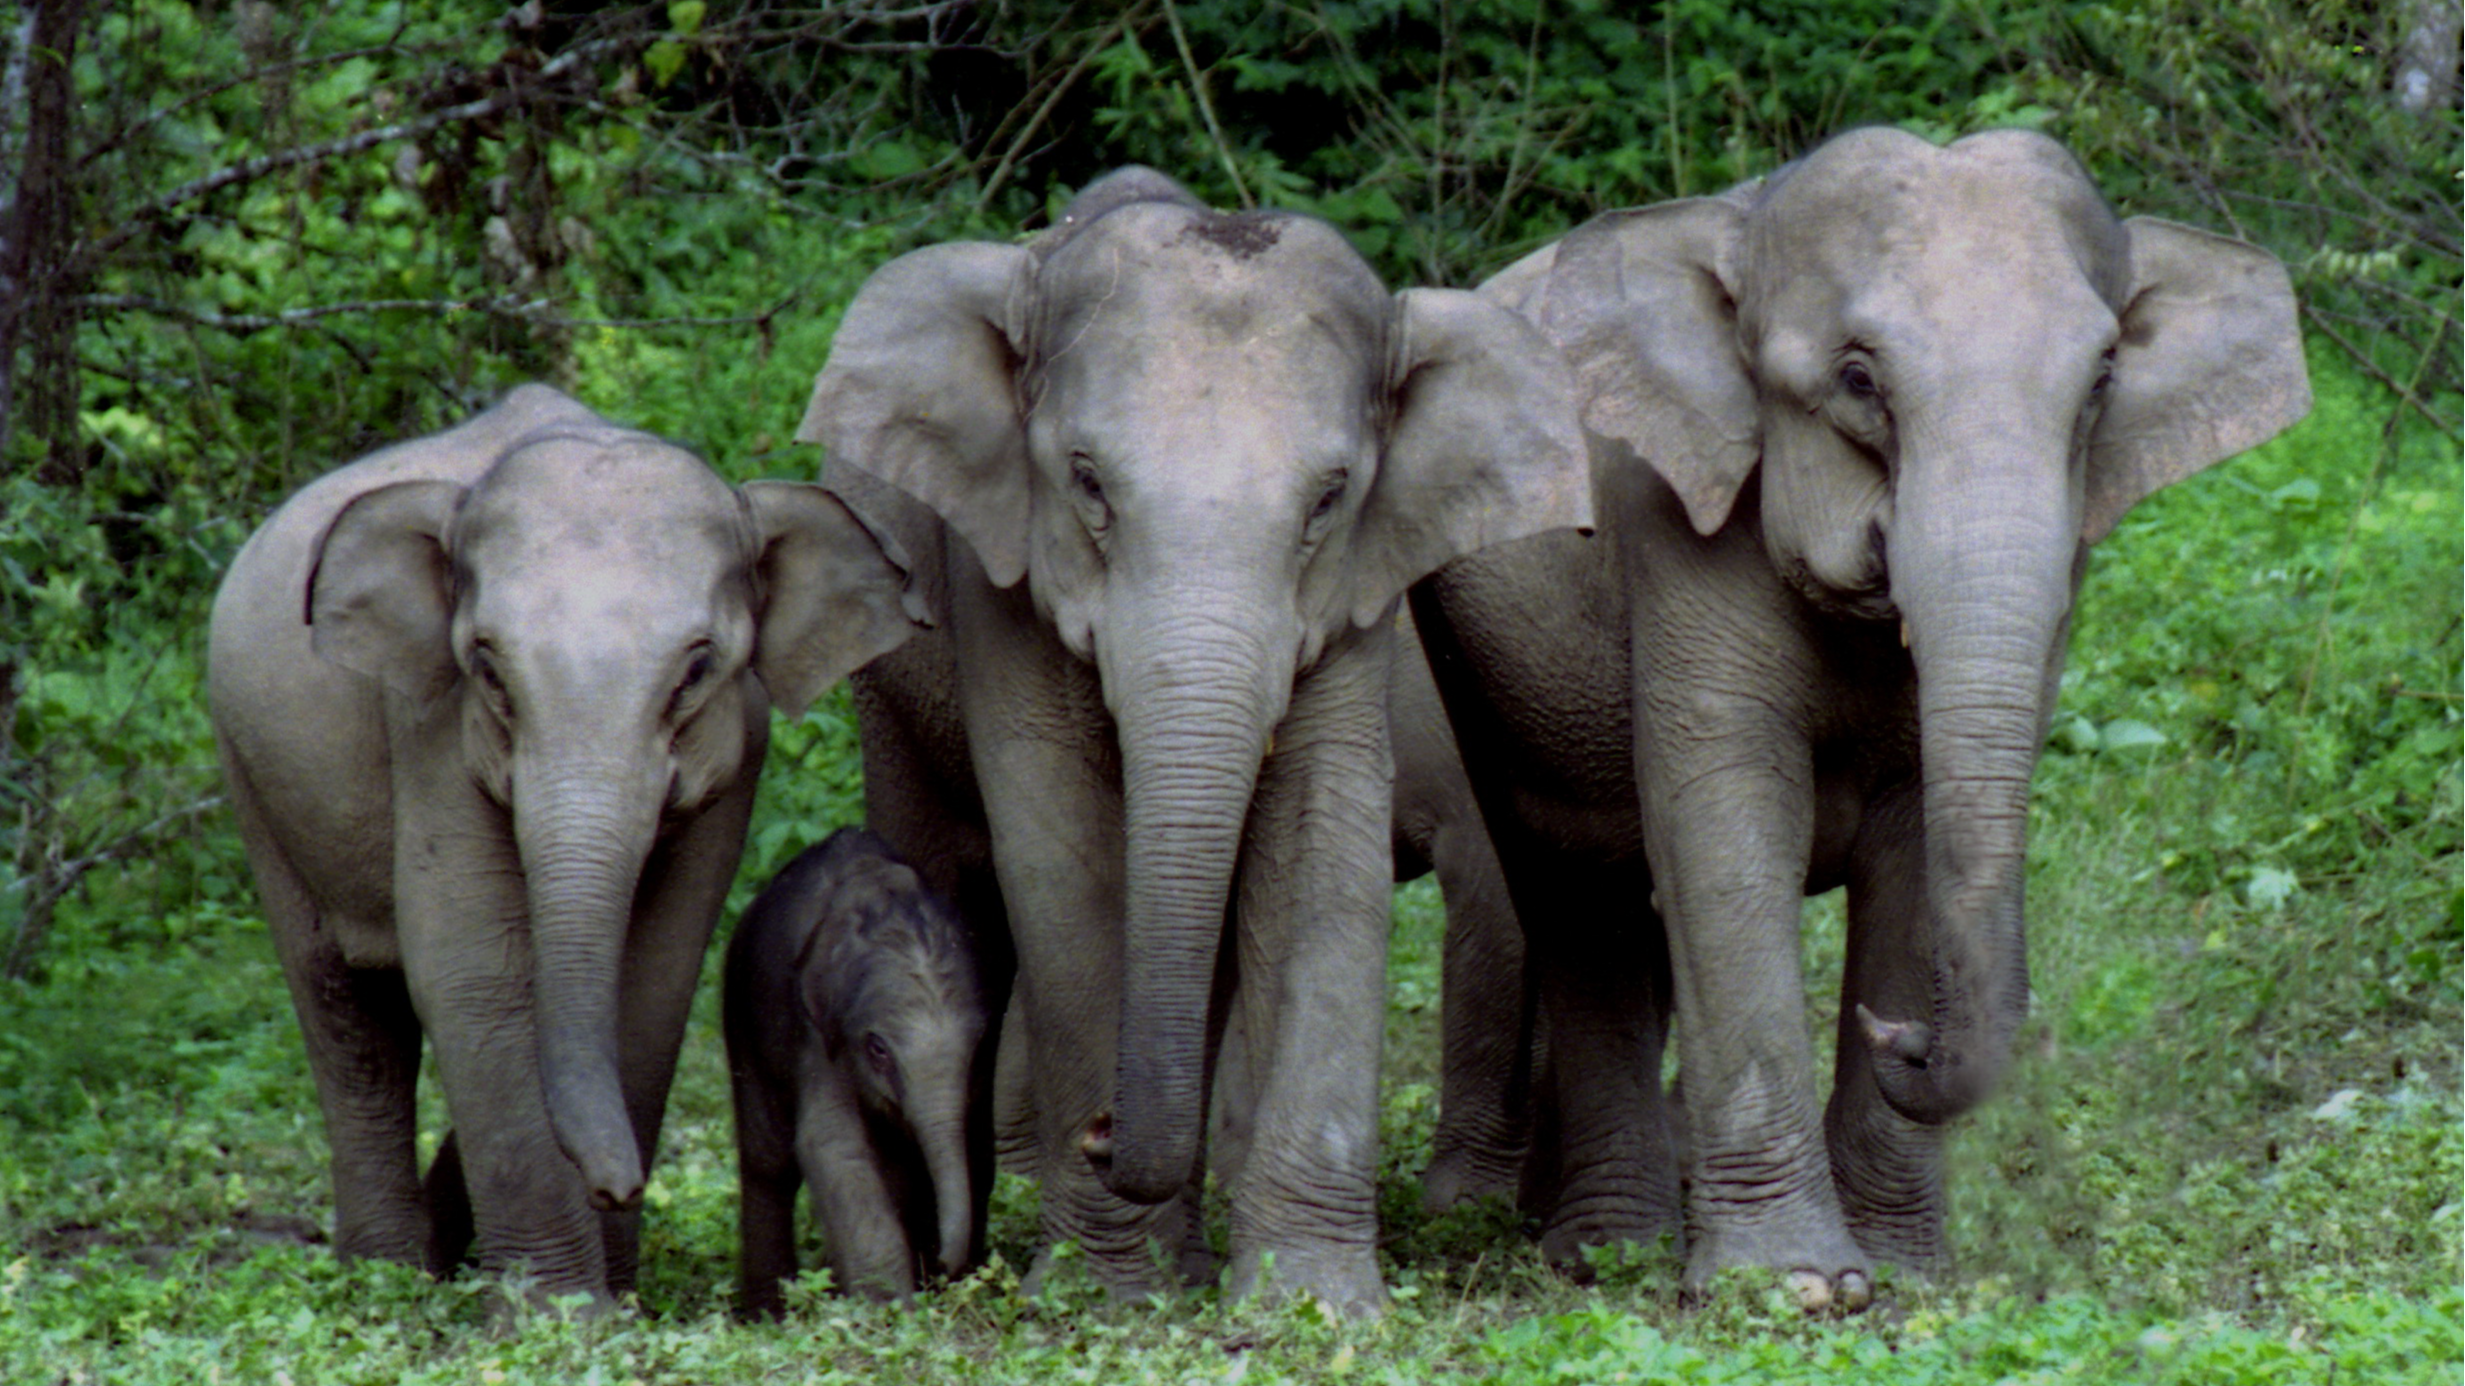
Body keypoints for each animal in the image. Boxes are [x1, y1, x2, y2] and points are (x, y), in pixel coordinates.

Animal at [207, 382, 926, 1302]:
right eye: (487, 666)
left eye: (697, 669)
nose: (621, 1184)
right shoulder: (430, 729)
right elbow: (473, 971)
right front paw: (557, 1309)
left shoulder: (738, 756)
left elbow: (654, 976)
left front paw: (607, 1295)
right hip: (252, 774)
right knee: (346, 1011)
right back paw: (388, 1279)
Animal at [719, 823, 990, 1312]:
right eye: (878, 1049)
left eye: (978, 1045)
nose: (944, 1264)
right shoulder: (814, 1031)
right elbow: (834, 1146)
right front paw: (889, 1311)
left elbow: (971, 1138)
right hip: (741, 1014)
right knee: (769, 1159)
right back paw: (769, 1312)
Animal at [798, 167, 1587, 1312]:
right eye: (1086, 481)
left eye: (1328, 498)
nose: (1102, 1134)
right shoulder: (1000, 573)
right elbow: (1062, 851)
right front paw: (1104, 1293)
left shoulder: (1360, 599)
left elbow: (1318, 842)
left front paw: (1307, 1298)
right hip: (886, 683)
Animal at [1409, 121, 2307, 1302]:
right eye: (1854, 379)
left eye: (2102, 380)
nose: (1905, 1038)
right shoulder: (1674, 525)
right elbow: (1725, 835)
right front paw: (1791, 1290)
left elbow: (1917, 845)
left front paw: (1903, 1276)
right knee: (1574, 894)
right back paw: (1611, 1252)